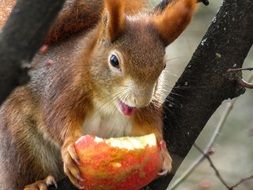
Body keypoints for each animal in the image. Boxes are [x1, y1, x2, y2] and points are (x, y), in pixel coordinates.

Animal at [0, 0, 197, 190]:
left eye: (163, 66)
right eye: (114, 61)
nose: (140, 101)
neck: (107, 102)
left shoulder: (150, 106)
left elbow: (150, 126)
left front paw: (162, 151)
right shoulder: (62, 89)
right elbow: (57, 119)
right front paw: (69, 146)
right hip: (21, 143)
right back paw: (35, 183)